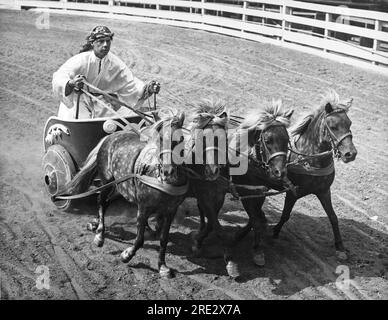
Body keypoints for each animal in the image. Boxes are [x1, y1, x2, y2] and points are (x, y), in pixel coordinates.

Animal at [60, 110, 188, 278]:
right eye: (160, 138)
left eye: (180, 138)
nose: (168, 171)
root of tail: (111, 136)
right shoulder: (143, 207)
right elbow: (139, 239)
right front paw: (126, 255)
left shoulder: (170, 211)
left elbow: (164, 239)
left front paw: (163, 267)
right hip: (107, 181)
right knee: (101, 201)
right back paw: (99, 235)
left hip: (121, 188)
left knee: (107, 202)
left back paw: (95, 224)